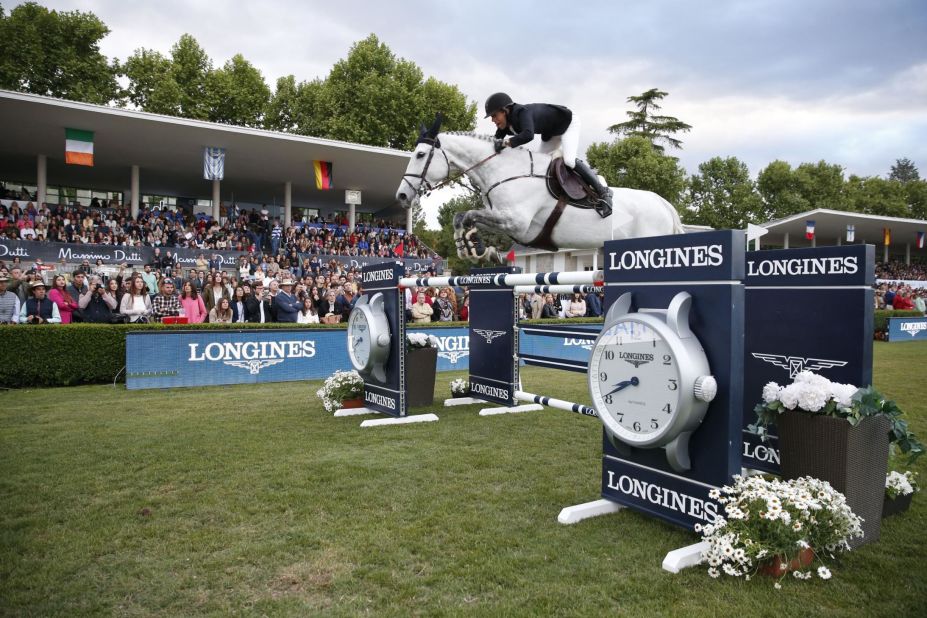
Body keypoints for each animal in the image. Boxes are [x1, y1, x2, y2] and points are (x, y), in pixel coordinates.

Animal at [396, 116, 684, 262]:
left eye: (420, 155)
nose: (401, 195)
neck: (504, 171)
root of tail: (665, 205)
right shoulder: (504, 220)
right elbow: (462, 217)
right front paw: (471, 248)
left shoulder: (516, 223)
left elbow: (468, 215)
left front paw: (476, 249)